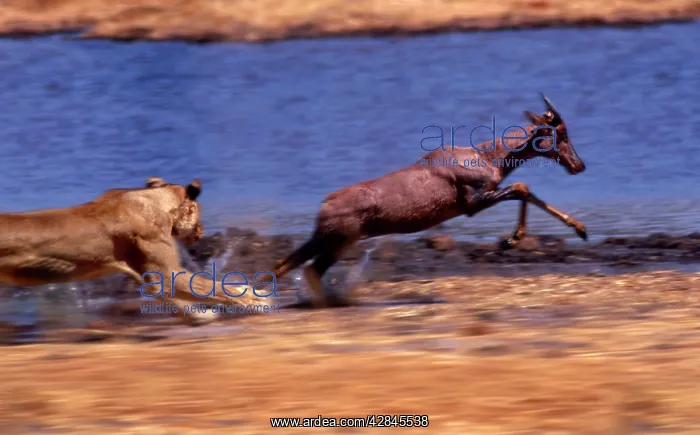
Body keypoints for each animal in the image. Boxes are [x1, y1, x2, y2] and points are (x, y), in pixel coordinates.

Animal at [0, 177, 266, 325]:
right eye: (198, 211)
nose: (201, 231)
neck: (153, 200)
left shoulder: (152, 275)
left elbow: (178, 299)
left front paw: (200, 316)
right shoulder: (166, 272)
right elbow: (214, 287)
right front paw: (256, 298)